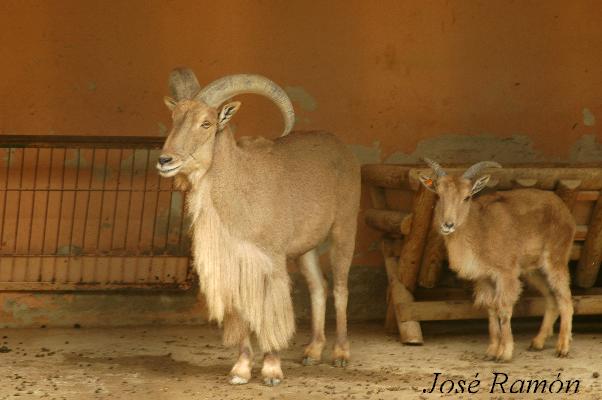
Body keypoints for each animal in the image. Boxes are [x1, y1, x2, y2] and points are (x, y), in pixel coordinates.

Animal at [157, 68, 358, 384]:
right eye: (174, 118)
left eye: (206, 123)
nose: (165, 160)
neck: (241, 188)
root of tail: (343, 149)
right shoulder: (235, 264)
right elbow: (242, 315)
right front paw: (240, 370)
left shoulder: (271, 261)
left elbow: (269, 314)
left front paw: (272, 370)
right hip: (307, 248)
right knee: (318, 287)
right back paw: (313, 351)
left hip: (344, 229)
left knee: (340, 288)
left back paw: (340, 354)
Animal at [414, 159, 576, 362]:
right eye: (438, 195)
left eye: (467, 197)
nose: (448, 225)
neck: (479, 229)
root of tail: (563, 208)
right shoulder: (484, 277)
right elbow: (491, 308)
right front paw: (491, 350)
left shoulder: (506, 273)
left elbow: (504, 308)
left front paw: (504, 353)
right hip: (534, 271)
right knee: (552, 299)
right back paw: (537, 342)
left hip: (555, 259)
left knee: (565, 299)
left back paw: (562, 348)